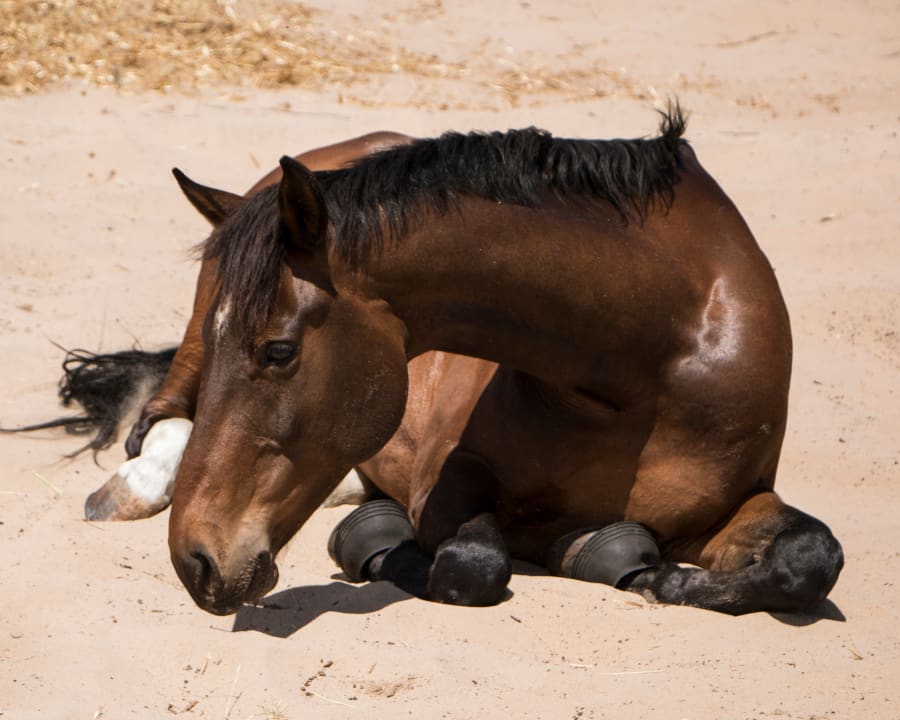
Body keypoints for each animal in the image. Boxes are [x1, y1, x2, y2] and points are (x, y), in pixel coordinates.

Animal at [156, 107, 844, 612]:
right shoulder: (447, 476)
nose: (195, 560)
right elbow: (472, 564)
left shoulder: (730, 503)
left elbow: (812, 556)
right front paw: (375, 541)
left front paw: (663, 580)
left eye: (279, 350)